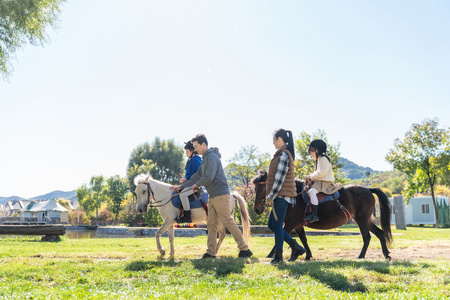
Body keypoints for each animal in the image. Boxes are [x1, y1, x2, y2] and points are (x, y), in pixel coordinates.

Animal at [251, 171, 392, 260]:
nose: (257, 209)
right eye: (254, 189)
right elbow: (303, 240)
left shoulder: (290, 223)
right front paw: (307, 255)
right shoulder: (298, 225)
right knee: (380, 233)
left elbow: (280, 236)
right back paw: (386, 254)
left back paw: (361, 256)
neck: (293, 197)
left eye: (261, 189)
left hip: (361, 220)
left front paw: (272, 255)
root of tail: (368, 189)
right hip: (366, 220)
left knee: (367, 237)